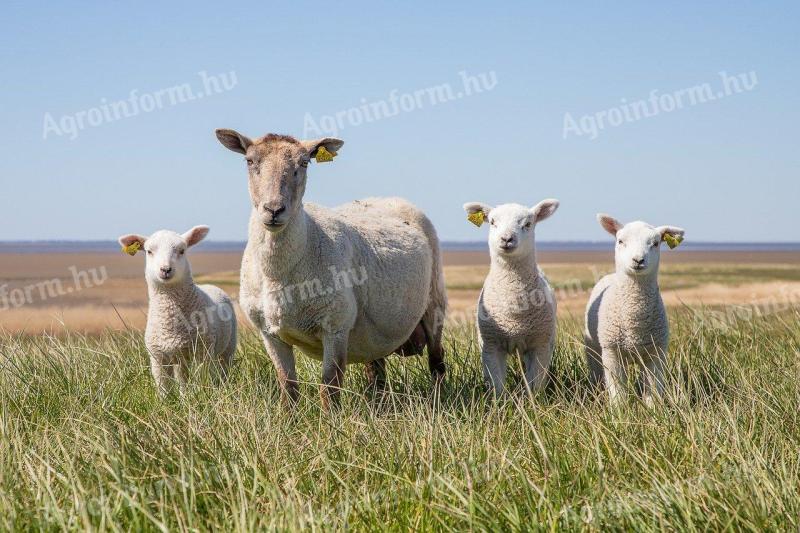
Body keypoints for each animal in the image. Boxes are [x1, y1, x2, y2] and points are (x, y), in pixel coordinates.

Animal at [116, 224, 234, 394]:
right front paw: (167, 400)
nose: (165, 269)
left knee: (224, 368)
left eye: (182, 250)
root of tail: (209, 285)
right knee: (182, 378)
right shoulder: (158, 357)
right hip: (179, 358)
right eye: (149, 251)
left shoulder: (202, 352)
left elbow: (201, 380)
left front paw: (201, 395)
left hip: (228, 347)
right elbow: (163, 388)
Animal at [216, 129, 446, 408]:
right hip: (373, 334)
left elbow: (330, 385)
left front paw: (331, 419)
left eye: (304, 163)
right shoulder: (269, 332)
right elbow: (287, 385)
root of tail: (387, 198)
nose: (273, 210)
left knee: (437, 360)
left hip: (434, 302)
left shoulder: (335, 326)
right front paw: (288, 416)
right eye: (249, 161)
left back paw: (438, 400)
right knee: (376, 369)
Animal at [462, 198, 564, 394]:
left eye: (528, 224)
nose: (507, 239)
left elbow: (535, 384)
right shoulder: (490, 345)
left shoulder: (540, 345)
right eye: (492, 222)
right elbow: (497, 385)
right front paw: (501, 401)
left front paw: (534, 400)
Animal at [580, 212, 688, 404]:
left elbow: (653, 390)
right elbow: (617, 392)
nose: (638, 260)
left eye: (656, 243)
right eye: (620, 241)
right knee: (596, 372)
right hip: (593, 348)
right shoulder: (612, 353)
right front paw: (619, 410)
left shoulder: (656, 353)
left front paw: (653, 410)